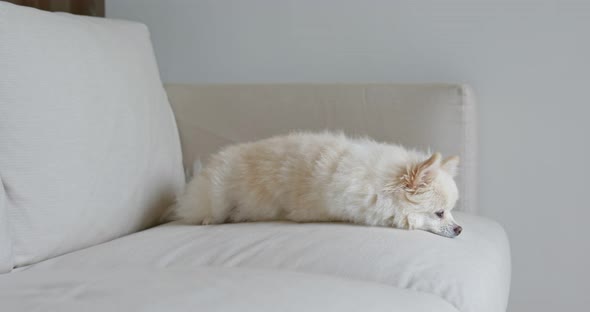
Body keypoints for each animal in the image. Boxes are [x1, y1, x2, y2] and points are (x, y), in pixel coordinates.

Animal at [173, 131, 464, 236]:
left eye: (452, 212)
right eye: (440, 213)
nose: (460, 229)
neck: (378, 182)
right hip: (218, 194)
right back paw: (208, 219)